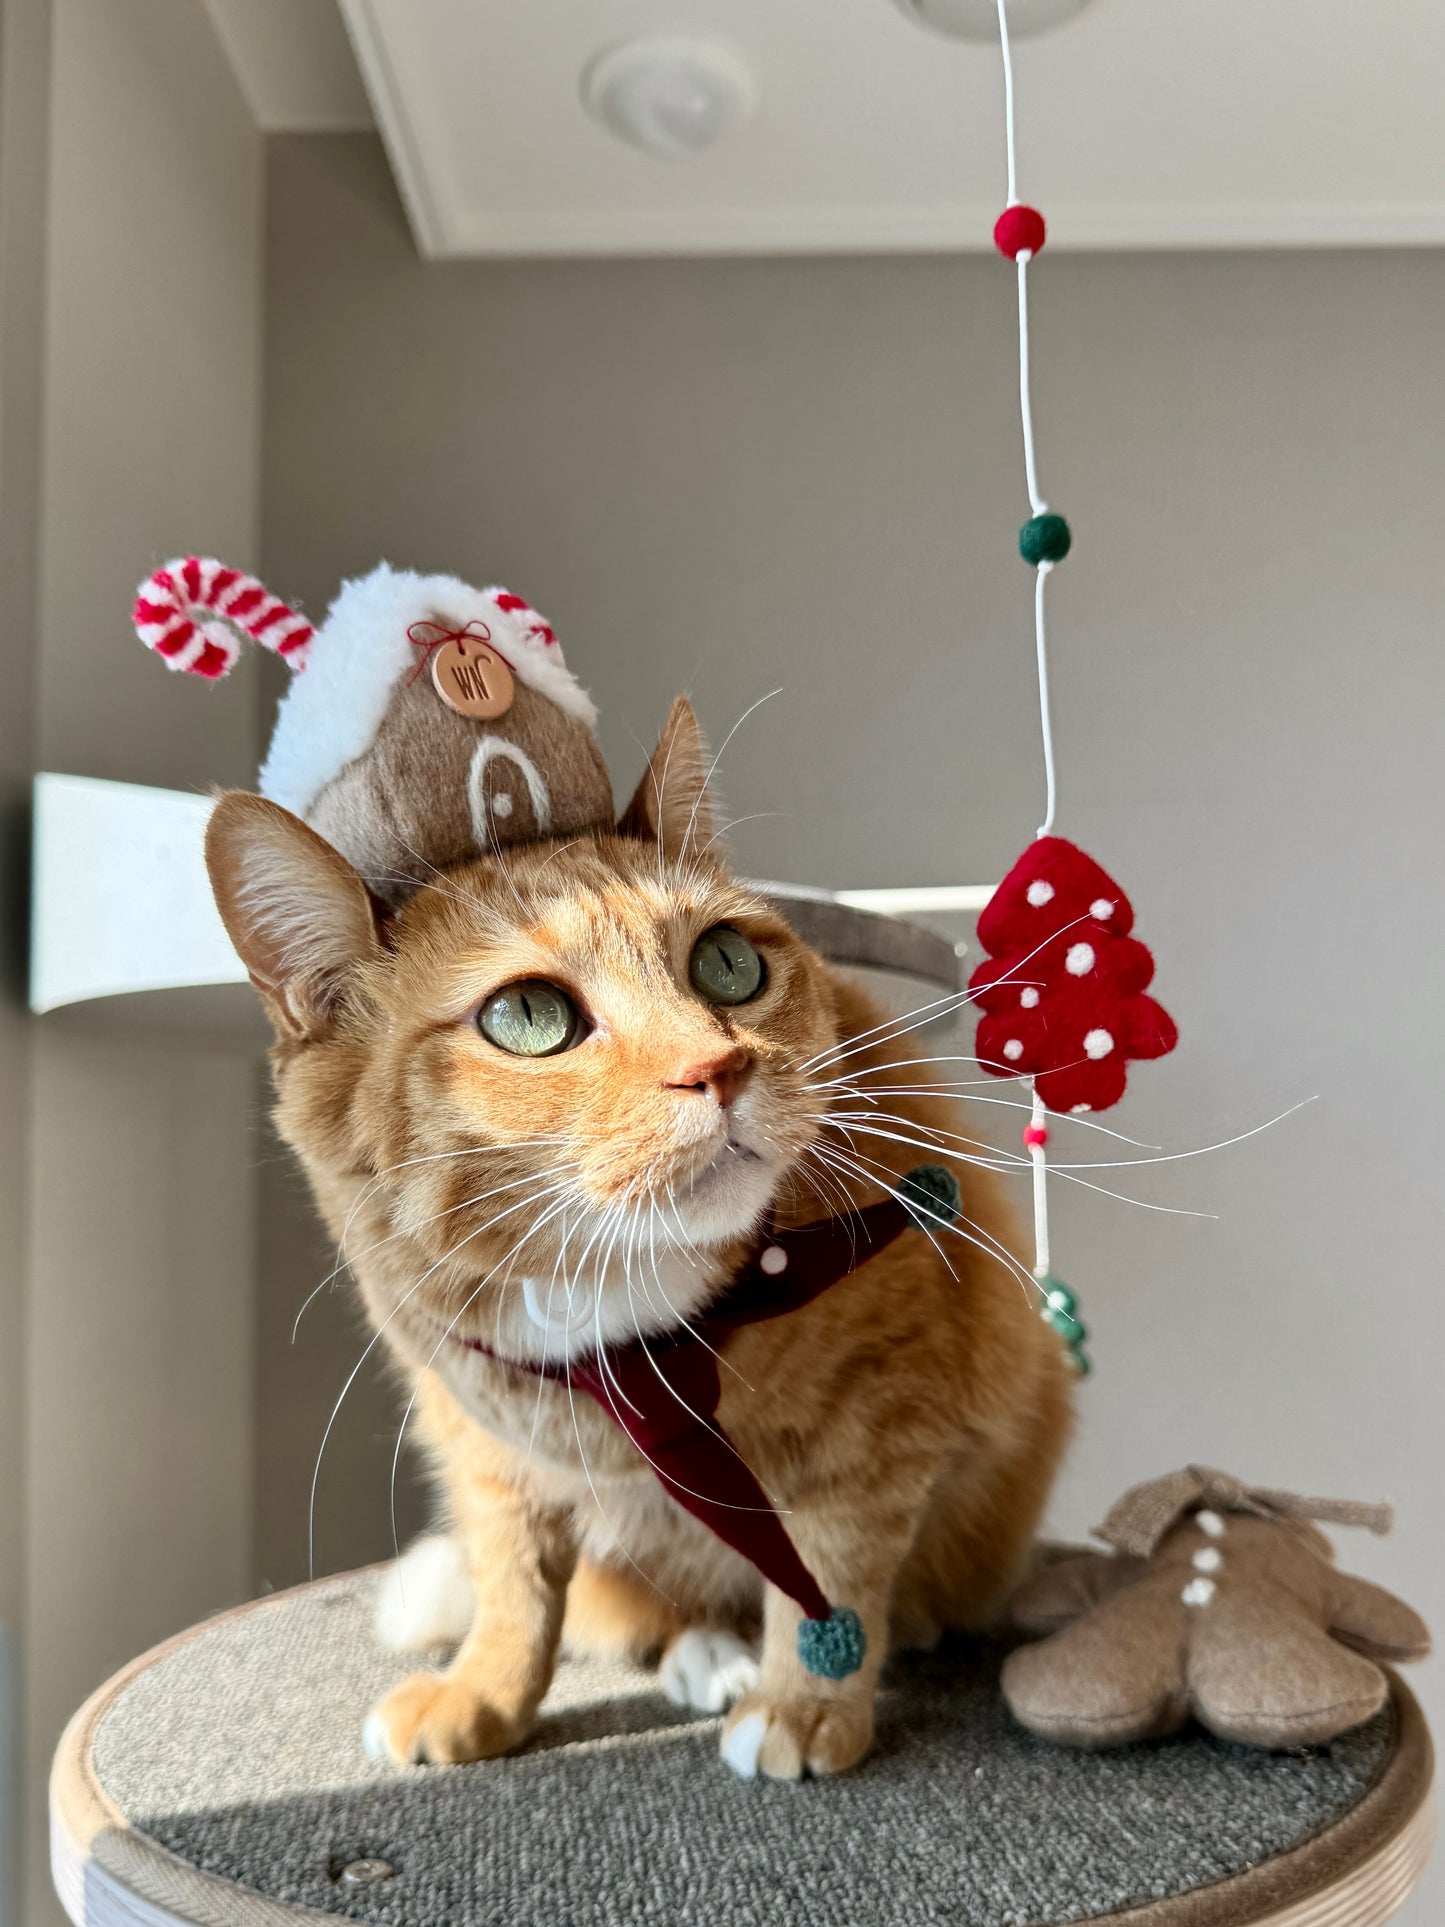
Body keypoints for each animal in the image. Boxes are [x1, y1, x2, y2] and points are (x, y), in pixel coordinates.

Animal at [211, 701, 1078, 1780]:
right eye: (527, 1014)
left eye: (726, 961)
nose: (719, 1068)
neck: (615, 1338)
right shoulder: (481, 1446)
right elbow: (512, 1584)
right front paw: (484, 1691)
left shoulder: (873, 1423)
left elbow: (825, 1575)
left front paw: (803, 1706)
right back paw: (703, 1650)